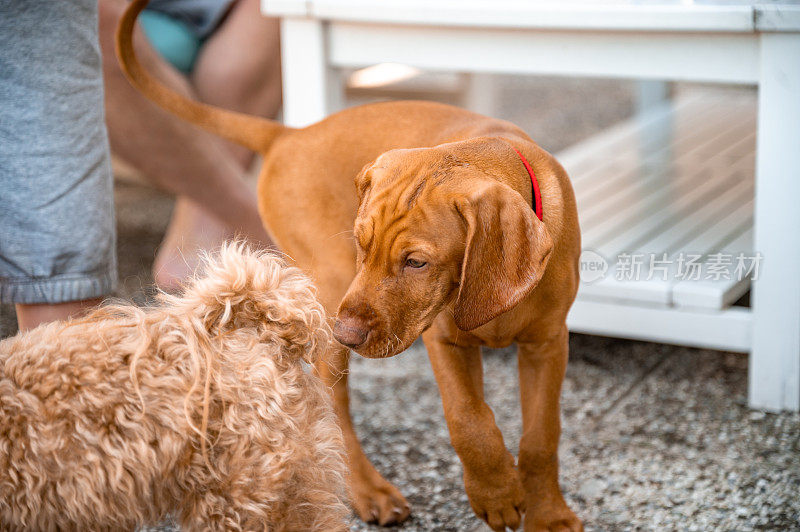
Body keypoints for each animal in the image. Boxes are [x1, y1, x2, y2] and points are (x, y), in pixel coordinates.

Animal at [115, 2, 580, 528]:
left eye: (416, 262)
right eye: (362, 244)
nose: (347, 334)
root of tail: (290, 135)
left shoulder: (548, 342)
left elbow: (541, 436)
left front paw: (549, 514)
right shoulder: (444, 339)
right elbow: (468, 418)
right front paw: (496, 493)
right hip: (332, 292)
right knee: (334, 407)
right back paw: (367, 489)